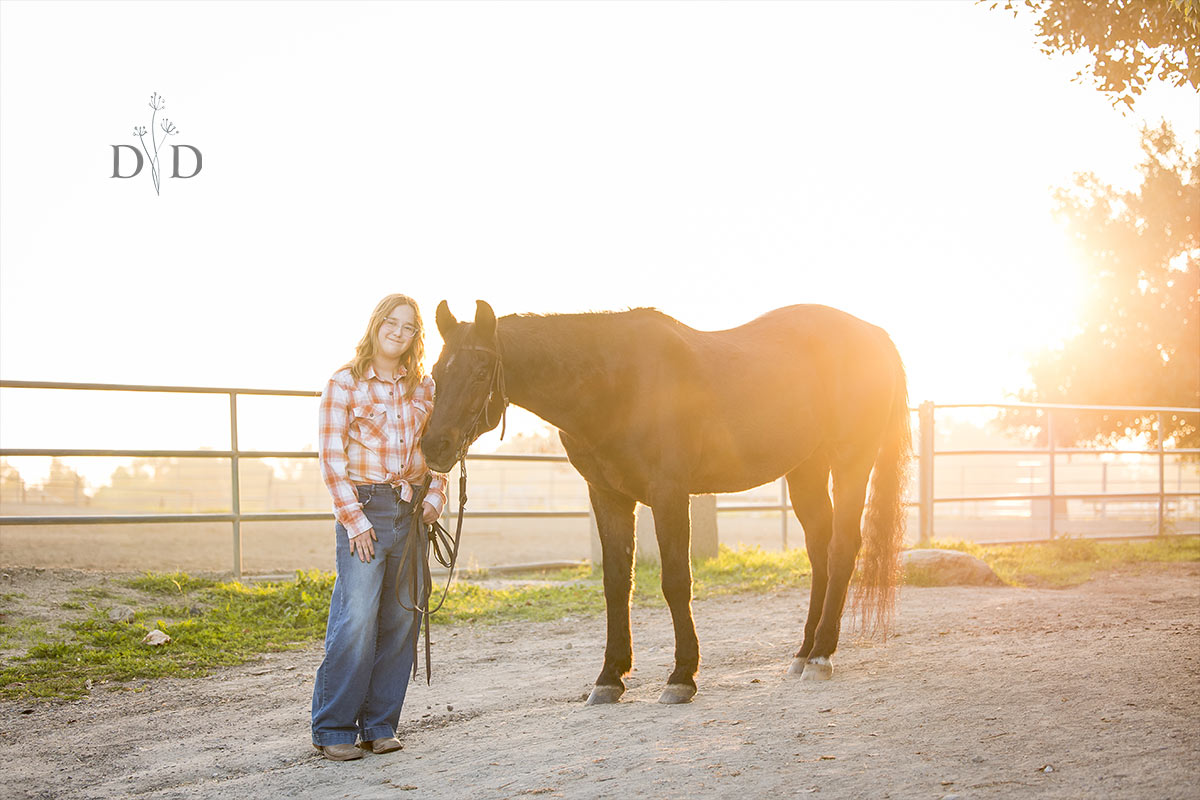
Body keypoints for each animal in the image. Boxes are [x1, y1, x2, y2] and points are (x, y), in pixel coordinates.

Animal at [423, 300, 912, 705]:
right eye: (436, 372)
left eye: (481, 370)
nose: (434, 446)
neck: (615, 381)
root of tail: (876, 335)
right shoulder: (609, 498)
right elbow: (616, 585)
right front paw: (609, 677)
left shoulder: (669, 494)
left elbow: (676, 582)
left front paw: (682, 676)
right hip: (805, 469)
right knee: (819, 553)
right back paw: (804, 651)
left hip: (851, 461)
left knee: (842, 549)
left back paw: (822, 655)